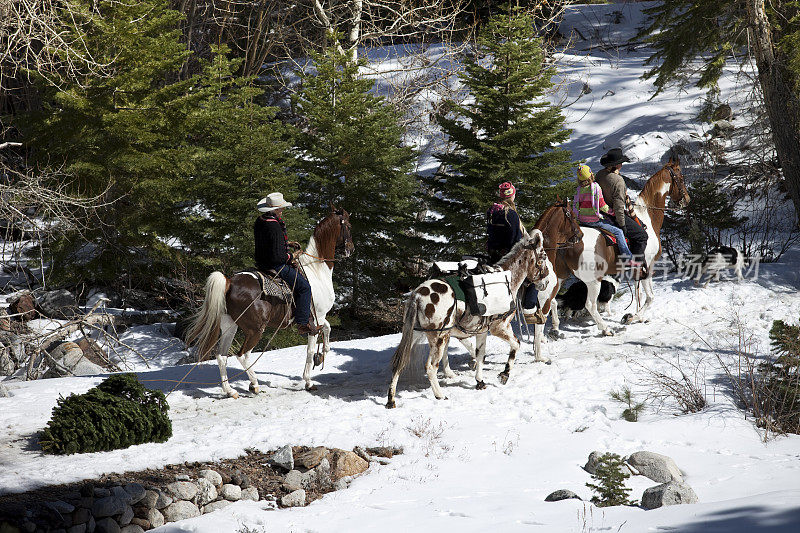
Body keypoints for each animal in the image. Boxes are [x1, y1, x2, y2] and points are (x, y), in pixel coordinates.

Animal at [188, 206, 354, 396]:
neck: (316, 270)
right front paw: (309, 381)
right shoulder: (316, 317)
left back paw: (230, 390)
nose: (351, 249)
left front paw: (324, 353)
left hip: (230, 326)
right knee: (242, 355)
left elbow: (327, 327)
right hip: (254, 329)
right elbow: (310, 350)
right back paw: (254, 384)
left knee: (221, 356)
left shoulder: (317, 318)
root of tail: (229, 282)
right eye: (349, 226)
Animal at [388, 229, 552, 408]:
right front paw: (505, 374)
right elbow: (516, 345)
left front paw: (480, 381)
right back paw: (440, 395)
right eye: (543, 256)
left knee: (398, 363)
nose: (546, 282)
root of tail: (417, 296)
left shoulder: (482, 332)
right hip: (440, 339)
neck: (508, 279)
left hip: (414, 335)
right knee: (430, 367)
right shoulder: (499, 328)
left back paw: (391, 399)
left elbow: (480, 355)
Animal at [552, 157, 692, 336]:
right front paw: (632, 317)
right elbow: (650, 297)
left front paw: (639, 317)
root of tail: (569, 241)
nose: (687, 199)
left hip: (561, 276)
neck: (646, 218)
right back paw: (605, 329)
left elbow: (639, 294)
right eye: (680, 178)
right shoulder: (647, 265)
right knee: (589, 305)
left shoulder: (638, 269)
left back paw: (554, 329)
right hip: (593, 281)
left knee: (552, 300)